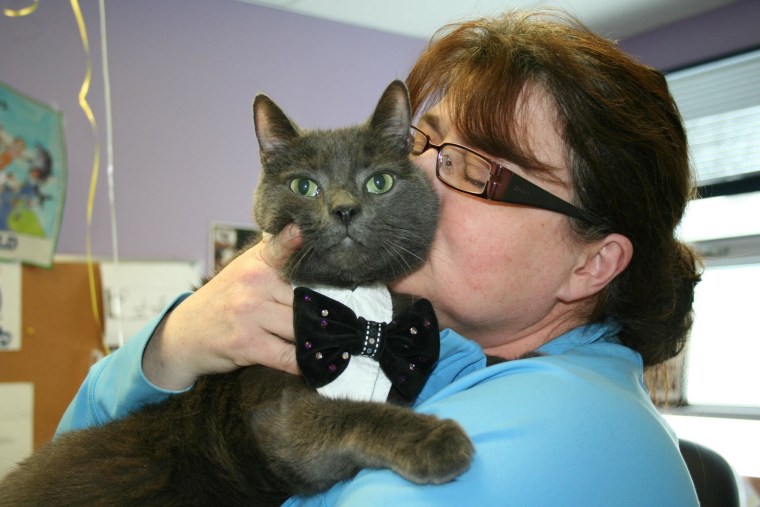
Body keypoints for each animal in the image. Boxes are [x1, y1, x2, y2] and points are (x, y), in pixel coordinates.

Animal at [0, 81, 476, 506]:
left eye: (380, 182)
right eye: (304, 186)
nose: (344, 209)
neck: (354, 300)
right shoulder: (277, 418)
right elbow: (346, 414)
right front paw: (436, 436)